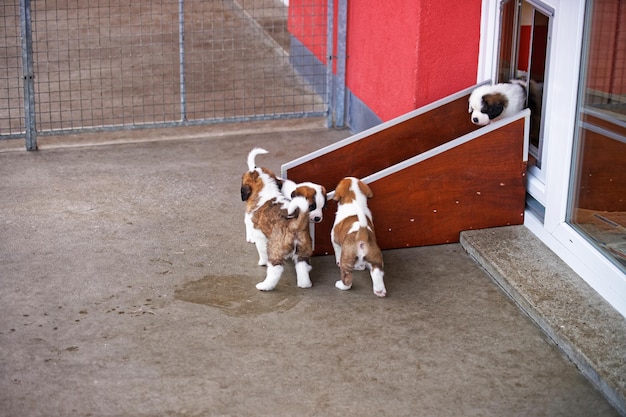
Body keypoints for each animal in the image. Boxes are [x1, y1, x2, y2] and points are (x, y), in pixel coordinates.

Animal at [241, 148, 314, 290]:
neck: (265, 190)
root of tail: (295, 224)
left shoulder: (260, 236)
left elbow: (261, 250)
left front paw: (262, 262)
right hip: (303, 249)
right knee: (302, 265)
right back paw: (304, 284)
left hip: (275, 248)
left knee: (276, 268)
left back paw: (264, 286)